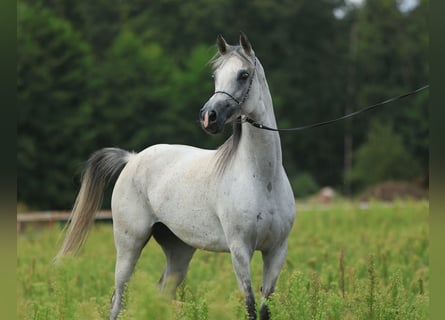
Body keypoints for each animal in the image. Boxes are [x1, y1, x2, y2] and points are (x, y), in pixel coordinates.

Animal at [57, 33, 296, 320]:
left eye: (243, 74)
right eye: (215, 75)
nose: (208, 117)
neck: (263, 179)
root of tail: (132, 158)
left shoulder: (276, 252)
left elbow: (263, 308)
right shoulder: (240, 250)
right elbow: (249, 305)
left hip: (179, 251)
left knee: (160, 294)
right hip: (129, 245)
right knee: (118, 300)